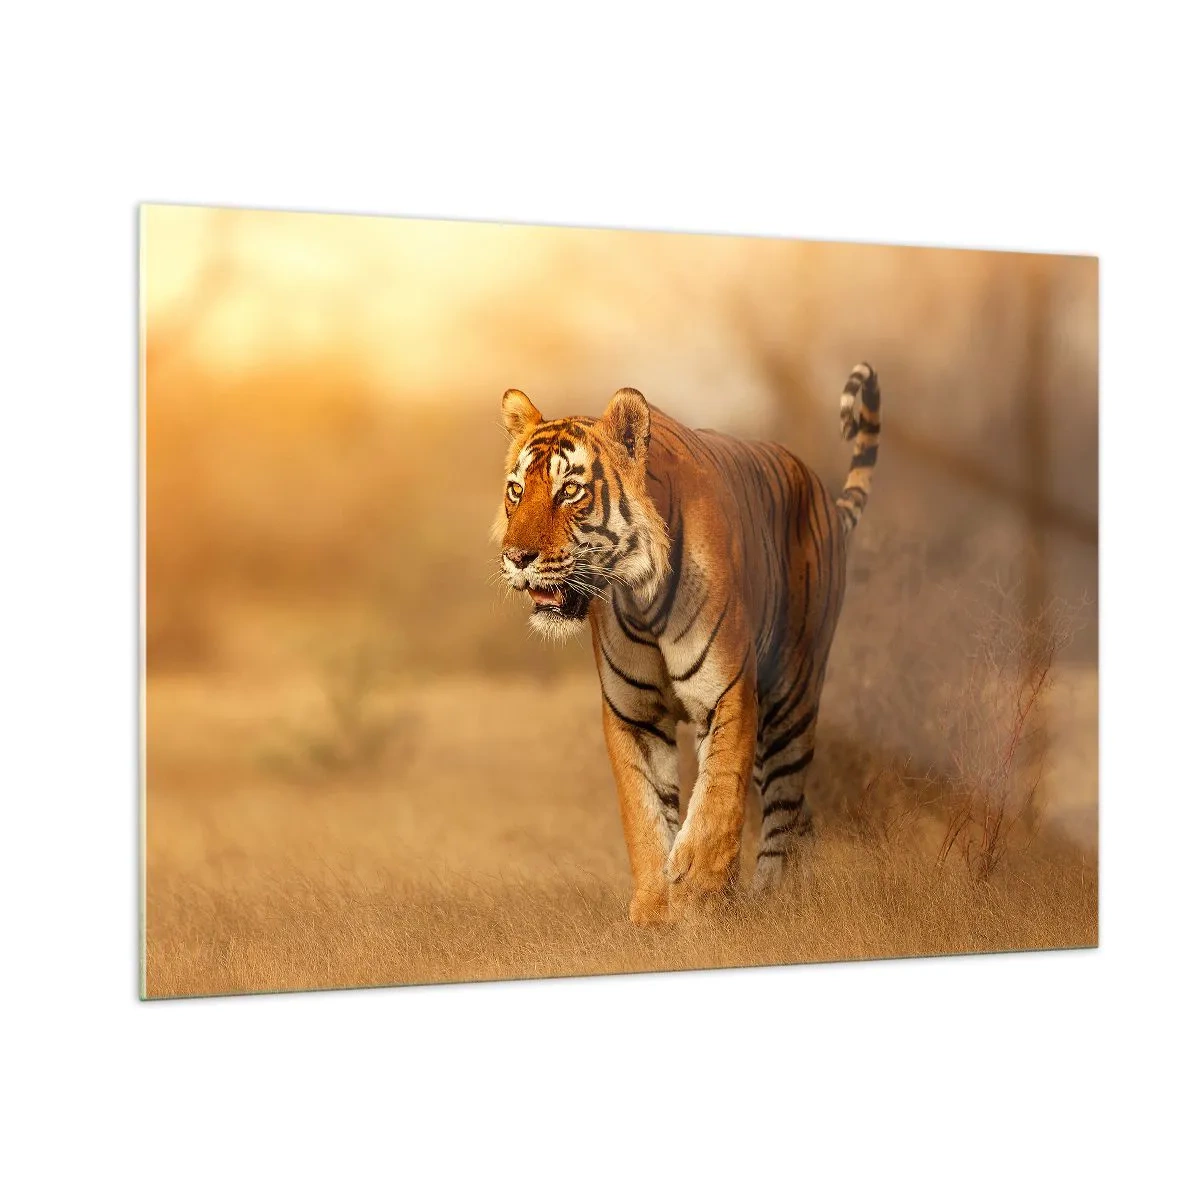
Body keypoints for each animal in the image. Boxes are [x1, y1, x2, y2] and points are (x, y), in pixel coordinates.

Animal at [495, 364, 882, 925]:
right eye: (515, 490)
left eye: (569, 491)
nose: (516, 557)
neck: (639, 594)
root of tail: (823, 495)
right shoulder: (632, 713)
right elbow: (645, 812)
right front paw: (657, 910)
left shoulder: (727, 693)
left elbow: (716, 797)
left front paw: (698, 891)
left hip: (791, 698)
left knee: (784, 808)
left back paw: (774, 898)